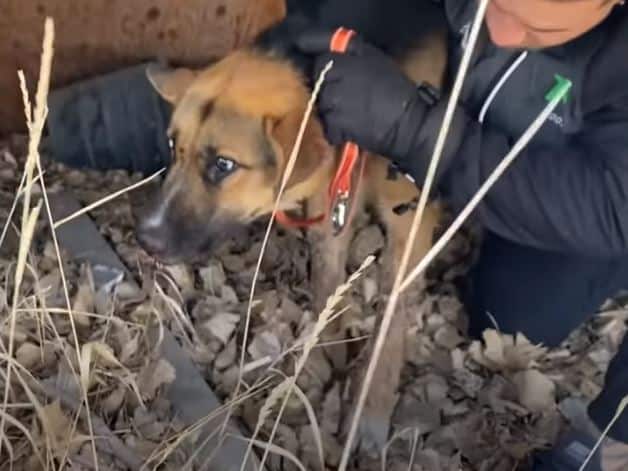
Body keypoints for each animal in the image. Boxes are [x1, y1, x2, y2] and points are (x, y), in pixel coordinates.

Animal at [137, 0, 448, 450]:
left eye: (223, 165)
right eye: (174, 146)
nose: (144, 238)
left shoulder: (409, 220)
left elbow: (391, 319)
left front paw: (370, 406)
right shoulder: (332, 201)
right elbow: (326, 280)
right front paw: (324, 346)